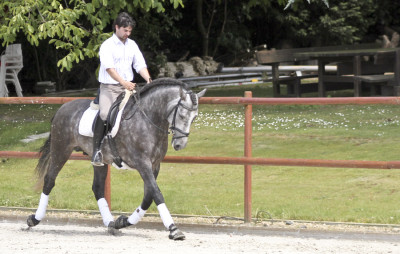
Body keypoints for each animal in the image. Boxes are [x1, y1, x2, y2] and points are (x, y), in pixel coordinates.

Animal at [26, 79, 206, 240]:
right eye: (181, 114)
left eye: (194, 117)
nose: (180, 144)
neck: (149, 118)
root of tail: (62, 108)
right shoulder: (142, 164)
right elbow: (157, 194)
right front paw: (174, 230)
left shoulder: (155, 165)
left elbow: (148, 197)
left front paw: (122, 222)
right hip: (61, 150)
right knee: (49, 180)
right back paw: (34, 219)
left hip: (98, 161)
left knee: (98, 188)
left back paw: (111, 224)